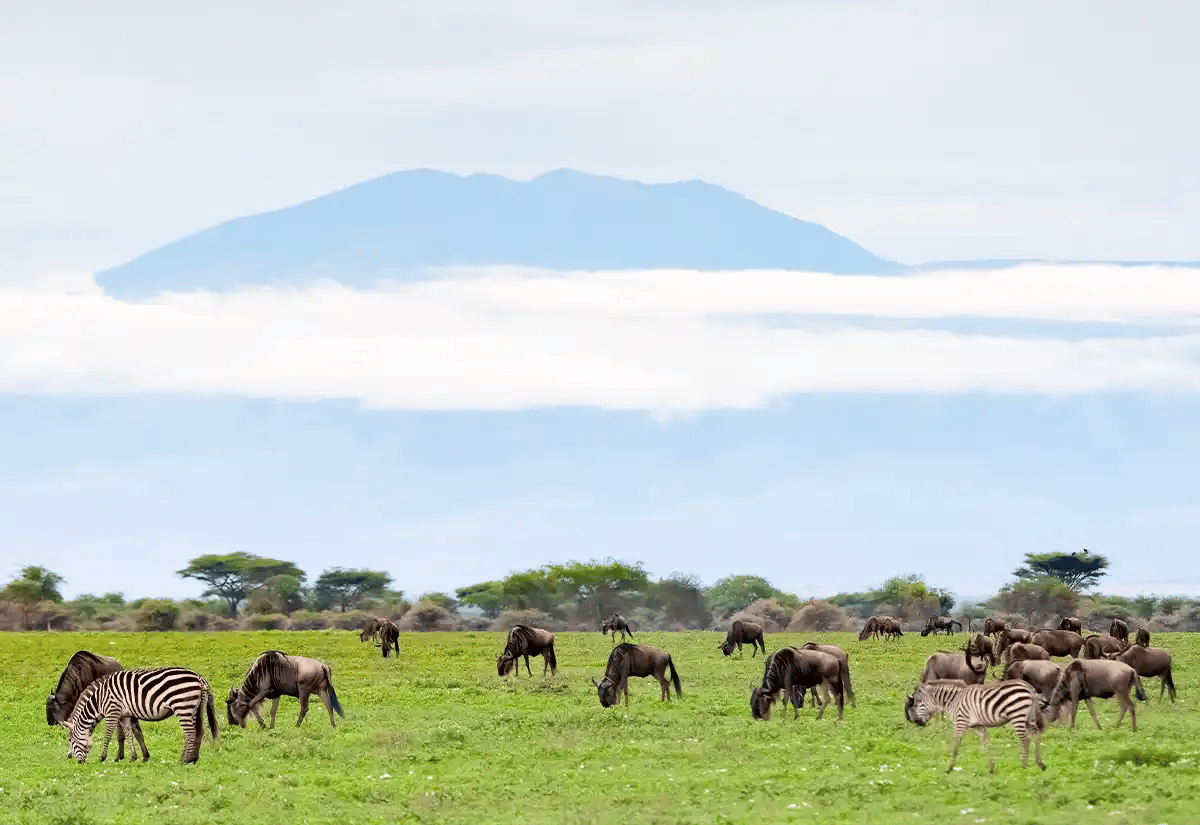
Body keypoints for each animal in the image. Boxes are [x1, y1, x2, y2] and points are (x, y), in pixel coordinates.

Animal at [62, 667, 219, 764]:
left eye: (70, 740)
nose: (75, 760)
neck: (99, 699)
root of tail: (199, 677)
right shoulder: (125, 715)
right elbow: (130, 734)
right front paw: (134, 757)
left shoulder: (112, 712)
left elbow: (109, 735)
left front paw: (103, 757)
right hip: (196, 708)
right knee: (198, 731)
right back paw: (193, 758)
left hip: (183, 705)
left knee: (190, 733)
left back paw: (185, 759)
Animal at [904, 678, 1047, 774]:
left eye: (918, 702)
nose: (916, 722)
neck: (953, 700)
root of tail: (1029, 687)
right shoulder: (978, 725)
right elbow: (986, 743)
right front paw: (991, 768)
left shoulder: (961, 721)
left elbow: (956, 744)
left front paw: (949, 768)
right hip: (1029, 718)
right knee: (1036, 735)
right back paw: (1039, 764)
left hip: (1018, 715)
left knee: (1025, 739)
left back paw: (1024, 766)